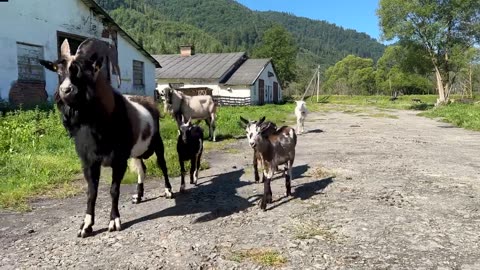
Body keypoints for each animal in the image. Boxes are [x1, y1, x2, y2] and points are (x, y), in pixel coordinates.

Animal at [39, 38, 171, 238]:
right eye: (58, 70)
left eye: (87, 69)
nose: (66, 90)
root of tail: (149, 101)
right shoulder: (89, 162)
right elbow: (91, 193)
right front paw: (86, 226)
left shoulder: (119, 160)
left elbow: (114, 190)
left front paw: (114, 221)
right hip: (135, 151)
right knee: (142, 168)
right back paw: (138, 196)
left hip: (157, 142)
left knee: (162, 165)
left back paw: (168, 191)